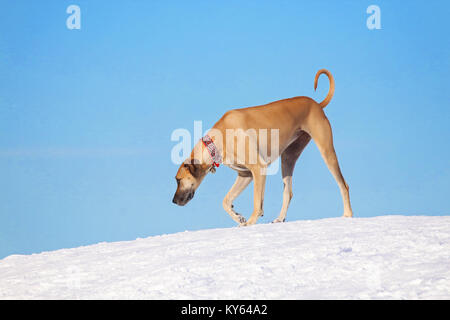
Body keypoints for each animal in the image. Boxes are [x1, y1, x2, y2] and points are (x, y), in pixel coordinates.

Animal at [172, 69, 352, 225]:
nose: (173, 201)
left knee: (343, 184)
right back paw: (280, 219)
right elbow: (226, 200)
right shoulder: (245, 174)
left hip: (327, 151)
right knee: (288, 192)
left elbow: (256, 202)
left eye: (178, 180)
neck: (216, 142)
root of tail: (317, 104)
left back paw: (348, 214)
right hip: (288, 157)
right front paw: (238, 217)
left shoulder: (258, 169)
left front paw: (250, 222)